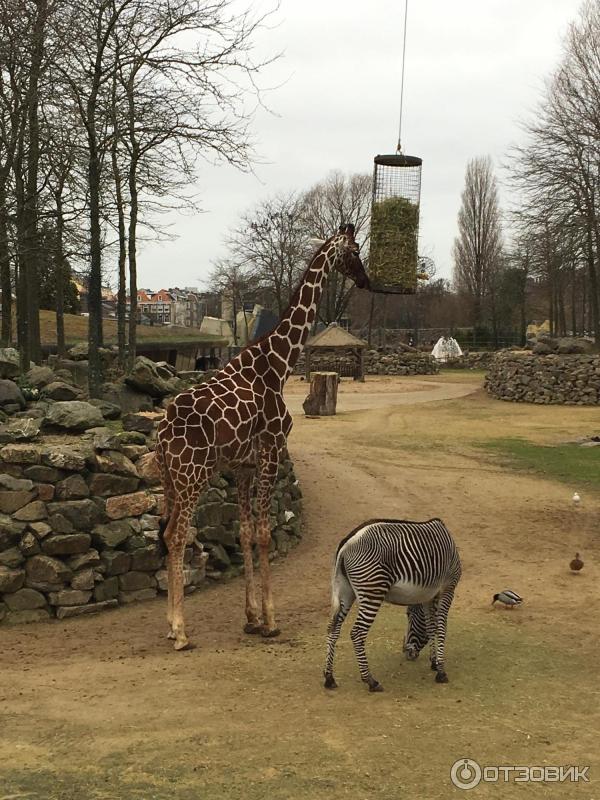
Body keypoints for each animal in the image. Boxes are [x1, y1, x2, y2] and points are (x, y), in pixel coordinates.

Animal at [155, 225, 370, 648]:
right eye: (354, 251)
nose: (366, 281)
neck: (280, 362)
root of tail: (162, 433)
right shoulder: (271, 450)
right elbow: (265, 533)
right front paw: (271, 620)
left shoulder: (244, 465)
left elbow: (244, 534)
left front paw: (251, 617)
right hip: (193, 476)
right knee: (176, 534)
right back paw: (180, 631)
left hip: (171, 478)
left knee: (169, 533)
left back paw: (172, 624)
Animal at [324, 520, 460, 692]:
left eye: (408, 615)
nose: (407, 653)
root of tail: (346, 543)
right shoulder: (448, 589)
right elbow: (441, 627)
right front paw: (441, 671)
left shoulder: (428, 597)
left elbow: (431, 627)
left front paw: (434, 662)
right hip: (372, 591)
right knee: (357, 633)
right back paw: (371, 681)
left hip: (345, 591)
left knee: (333, 628)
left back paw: (329, 677)